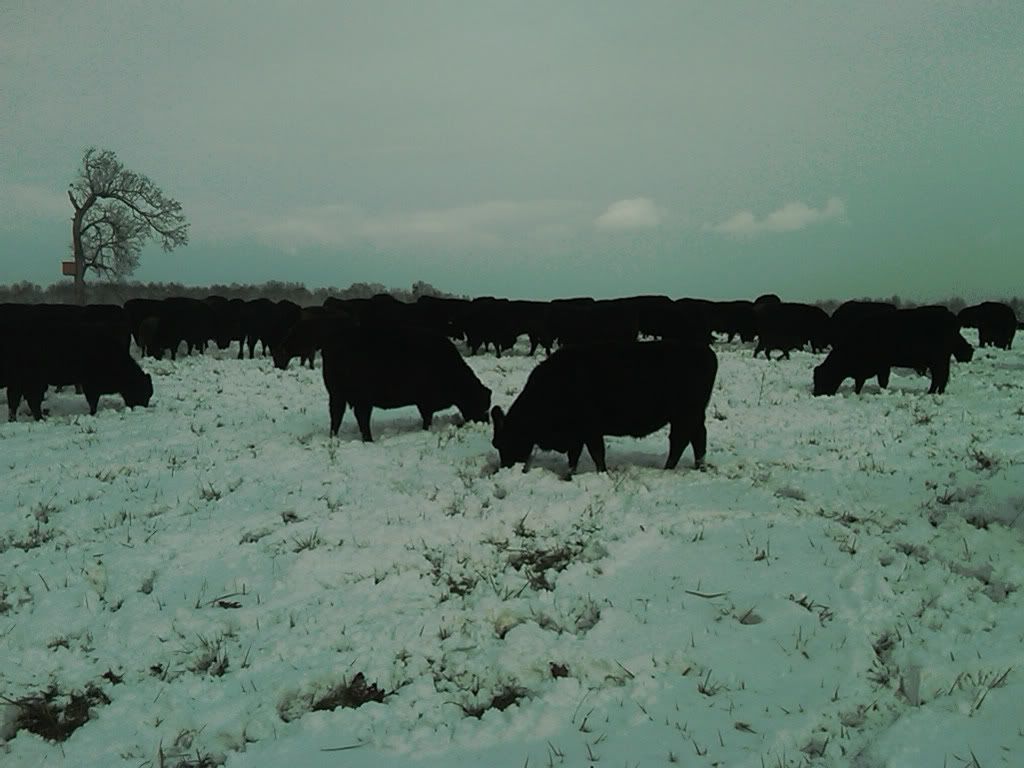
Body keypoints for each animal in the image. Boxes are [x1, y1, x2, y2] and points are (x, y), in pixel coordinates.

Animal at [6, 324, 153, 420]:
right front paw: (92, 414)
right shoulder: (91, 386)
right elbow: (92, 402)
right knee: (29, 400)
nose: (142, 408)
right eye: (141, 391)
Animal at [321, 326, 491, 441]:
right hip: (361, 398)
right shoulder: (425, 401)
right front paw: (426, 430)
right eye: (481, 404)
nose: (486, 423)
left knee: (336, 415)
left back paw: (334, 437)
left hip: (336, 395)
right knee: (361, 417)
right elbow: (427, 417)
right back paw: (368, 440)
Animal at [490, 340, 718, 475]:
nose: (504, 468)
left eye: (503, 442)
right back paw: (699, 467)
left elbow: (596, 454)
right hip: (693, 416)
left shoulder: (589, 431)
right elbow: (576, 456)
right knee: (698, 439)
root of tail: (706, 352)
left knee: (681, 441)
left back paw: (668, 469)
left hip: (686, 415)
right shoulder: (578, 434)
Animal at [813, 306, 973, 396]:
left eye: (822, 378)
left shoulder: (882, 366)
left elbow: (881, 381)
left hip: (938, 361)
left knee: (940, 377)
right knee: (940, 377)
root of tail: (950, 318)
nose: (816, 394)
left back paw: (933, 392)